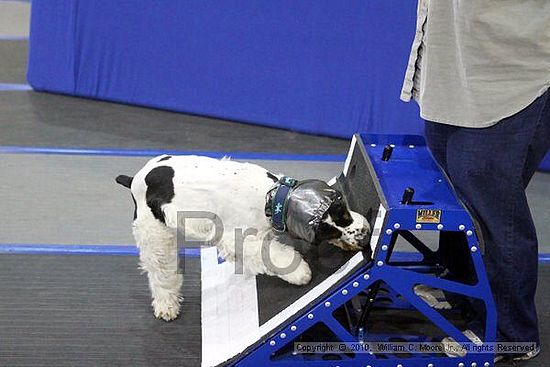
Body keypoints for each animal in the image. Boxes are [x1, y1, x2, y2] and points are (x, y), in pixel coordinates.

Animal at [118, 155, 374, 322]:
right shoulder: (238, 237)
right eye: (327, 232)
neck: (273, 197)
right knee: (161, 272)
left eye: (343, 213)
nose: (364, 236)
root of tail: (134, 179)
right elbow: (273, 255)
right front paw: (300, 273)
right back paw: (167, 305)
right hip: (155, 235)